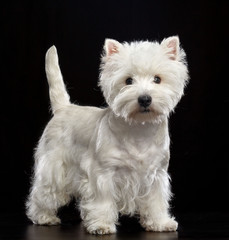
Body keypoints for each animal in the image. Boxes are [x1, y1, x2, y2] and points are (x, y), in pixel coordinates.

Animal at [26, 37, 189, 234]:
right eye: (128, 80)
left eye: (157, 79)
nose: (144, 99)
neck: (139, 130)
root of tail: (64, 108)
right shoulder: (103, 173)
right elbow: (103, 200)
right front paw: (101, 225)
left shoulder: (157, 174)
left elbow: (156, 201)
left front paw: (160, 223)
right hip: (54, 167)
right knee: (43, 193)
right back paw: (44, 217)